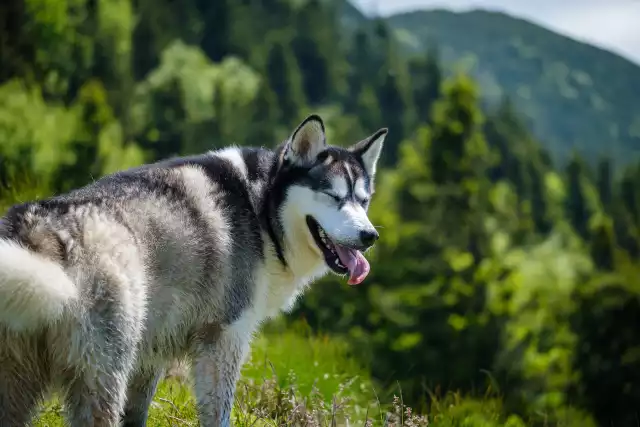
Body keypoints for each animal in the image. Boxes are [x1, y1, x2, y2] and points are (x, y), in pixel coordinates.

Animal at [0, 115, 384, 426]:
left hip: (23, 383)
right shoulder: (224, 338)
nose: (370, 236)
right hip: (104, 372)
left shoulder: (152, 350)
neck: (261, 209)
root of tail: (39, 231)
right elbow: (218, 412)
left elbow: (136, 413)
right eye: (333, 197)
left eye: (363, 201)